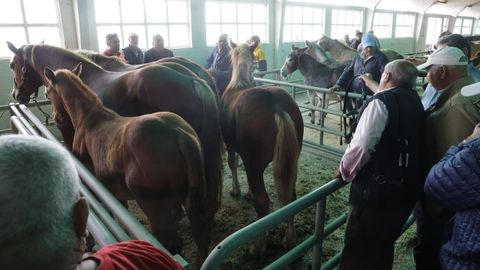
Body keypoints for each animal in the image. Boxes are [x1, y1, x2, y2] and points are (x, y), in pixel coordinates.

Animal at [42, 65, 210, 264]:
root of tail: (180, 135)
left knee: (172, 244)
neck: (89, 119)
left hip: (155, 207)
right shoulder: (112, 190)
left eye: (48, 92)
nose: (57, 118)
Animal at [219, 41, 302, 254]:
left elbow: (232, 163)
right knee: (291, 196)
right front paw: (248, 192)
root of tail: (276, 106)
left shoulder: (232, 147)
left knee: (263, 202)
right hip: (291, 163)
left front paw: (237, 190)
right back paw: (289, 239)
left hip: (254, 166)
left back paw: (258, 246)